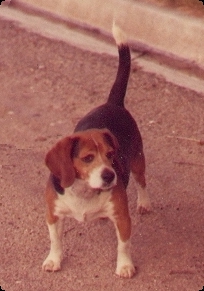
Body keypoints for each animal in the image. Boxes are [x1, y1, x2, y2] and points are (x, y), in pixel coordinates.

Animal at [42, 24, 151, 280]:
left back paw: (144, 202)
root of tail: (113, 103)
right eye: (87, 158)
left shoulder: (122, 217)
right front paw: (54, 260)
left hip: (138, 161)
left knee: (142, 182)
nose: (110, 175)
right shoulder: (53, 214)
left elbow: (124, 245)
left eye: (111, 155)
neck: (84, 192)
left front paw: (125, 266)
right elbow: (55, 241)